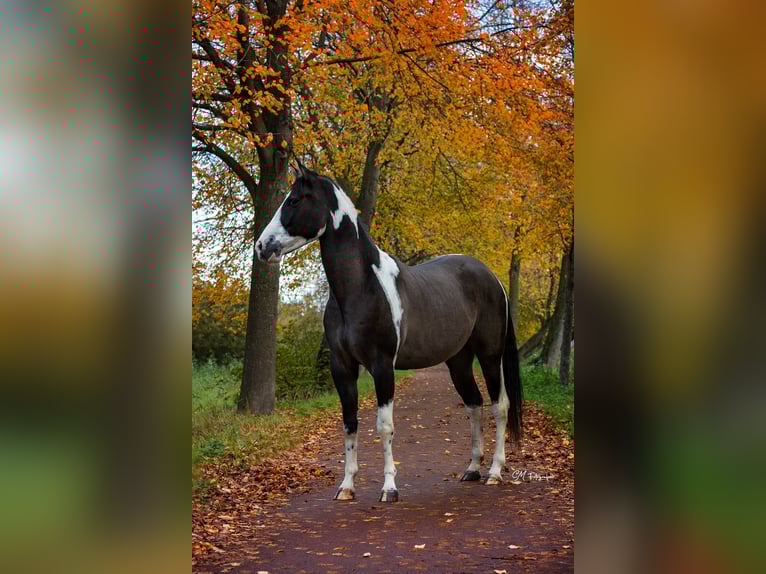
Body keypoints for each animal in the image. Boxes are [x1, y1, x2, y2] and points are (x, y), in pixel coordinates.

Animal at [255, 164, 522, 503]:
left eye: (294, 200)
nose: (262, 247)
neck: (360, 289)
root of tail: (492, 278)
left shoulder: (382, 366)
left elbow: (384, 427)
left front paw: (389, 488)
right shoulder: (342, 368)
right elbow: (350, 423)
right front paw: (346, 486)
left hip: (489, 355)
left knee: (500, 406)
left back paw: (495, 472)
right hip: (458, 361)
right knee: (474, 404)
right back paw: (473, 469)